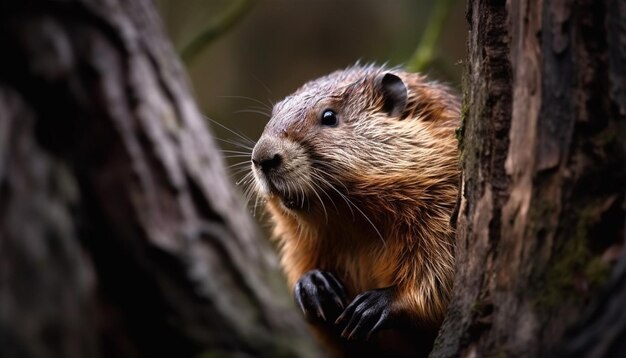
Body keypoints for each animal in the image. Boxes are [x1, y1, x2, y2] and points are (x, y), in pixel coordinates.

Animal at [249, 63, 458, 356]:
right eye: (275, 112)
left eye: (329, 116)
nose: (263, 157)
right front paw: (314, 286)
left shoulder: (443, 198)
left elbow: (441, 270)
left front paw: (369, 307)